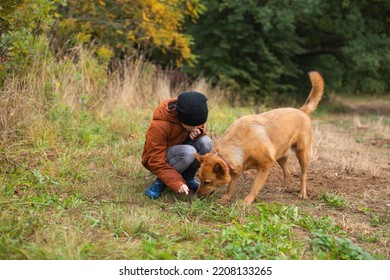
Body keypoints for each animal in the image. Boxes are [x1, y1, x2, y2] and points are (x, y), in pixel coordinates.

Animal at [195, 71, 326, 205]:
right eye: (199, 177)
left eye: (208, 182)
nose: (197, 196)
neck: (240, 144)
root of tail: (301, 111)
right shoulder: (236, 171)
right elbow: (230, 188)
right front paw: (224, 199)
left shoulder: (265, 166)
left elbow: (254, 187)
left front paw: (247, 201)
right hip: (280, 157)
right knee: (287, 172)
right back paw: (283, 188)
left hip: (302, 154)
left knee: (303, 175)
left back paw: (303, 193)